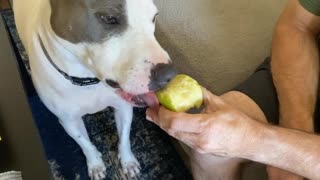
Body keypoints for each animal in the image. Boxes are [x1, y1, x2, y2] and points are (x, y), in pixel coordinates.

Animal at [13, 0, 175, 179]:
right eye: (109, 18)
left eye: (154, 17)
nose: (169, 75)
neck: (88, 81)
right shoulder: (68, 121)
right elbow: (85, 144)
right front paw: (96, 164)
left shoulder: (123, 106)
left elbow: (124, 138)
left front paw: (128, 162)